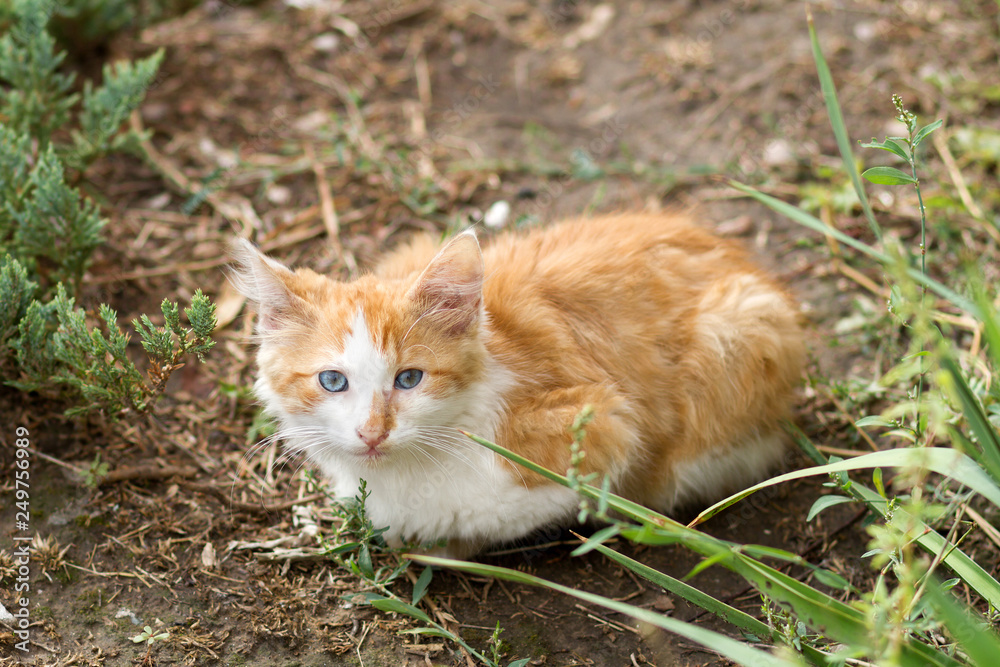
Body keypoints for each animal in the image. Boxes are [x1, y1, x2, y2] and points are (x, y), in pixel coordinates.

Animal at [232, 215, 804, 560]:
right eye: (333, 381)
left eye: (409, 379)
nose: (372, 433)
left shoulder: (607, 426)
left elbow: (496, 518)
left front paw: (443, 543)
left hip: (740, 334)